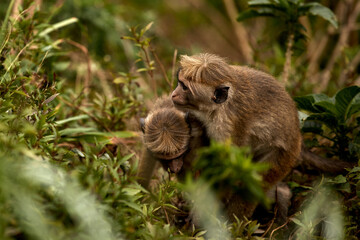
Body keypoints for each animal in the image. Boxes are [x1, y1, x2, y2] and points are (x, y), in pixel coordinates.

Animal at [172, 53, 304, 218]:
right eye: (180, 82)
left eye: (184, 87)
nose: (173, 94)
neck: (218, 107)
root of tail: (297, 137)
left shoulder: (226, 126)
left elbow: (228, 171)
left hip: (283, 156)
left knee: (252, 185)